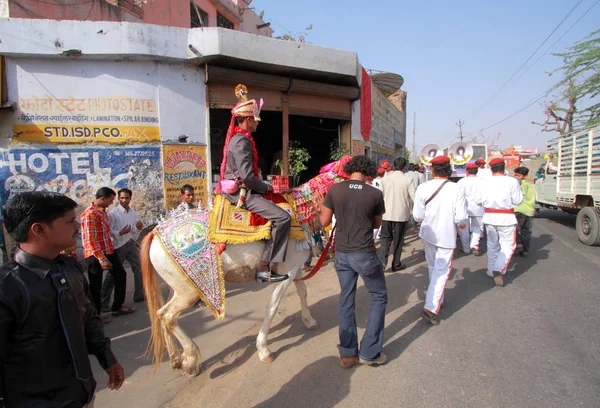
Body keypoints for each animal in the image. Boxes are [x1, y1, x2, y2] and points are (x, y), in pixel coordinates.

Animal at [138, 169, 340, 376]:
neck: (299, 211)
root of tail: (154, 233)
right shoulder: (286, 272)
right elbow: (273, 306)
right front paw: (264, 349)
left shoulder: (295, 267)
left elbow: (303, 292)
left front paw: (309, 321)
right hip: (190, 292)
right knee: (168, 316)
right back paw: (190, 360)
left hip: (178, 287)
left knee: (160, 314)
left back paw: (175, 358)